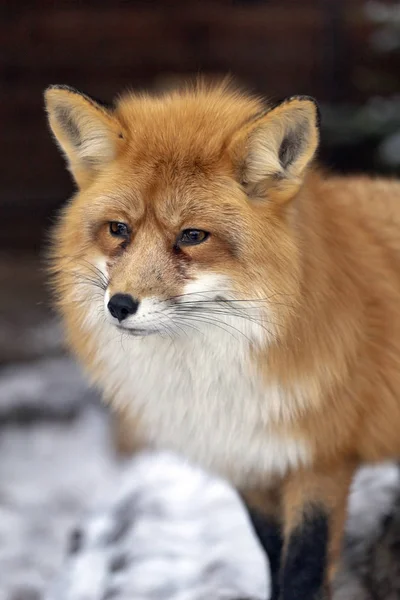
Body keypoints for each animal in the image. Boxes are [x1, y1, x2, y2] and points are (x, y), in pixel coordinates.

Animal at [44, 81, 400, 600]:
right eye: (118, 229)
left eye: (193, 236)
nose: (120, 305)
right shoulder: (247, 460)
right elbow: (273, 559)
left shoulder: (322, 460)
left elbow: (302, 572)